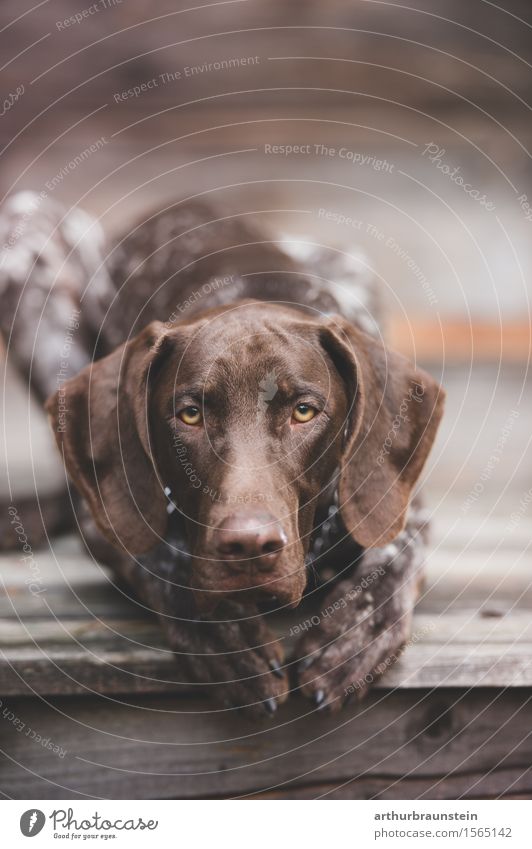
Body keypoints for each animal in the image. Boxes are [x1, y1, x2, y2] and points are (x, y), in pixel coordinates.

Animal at [0, 190, 444, 716]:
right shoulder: (109, 522)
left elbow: (395, 557)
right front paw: (228, 639)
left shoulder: (402, 509)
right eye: (190, 415)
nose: (249, 546)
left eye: (304, 411)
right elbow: (163, 557)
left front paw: (352, 638)